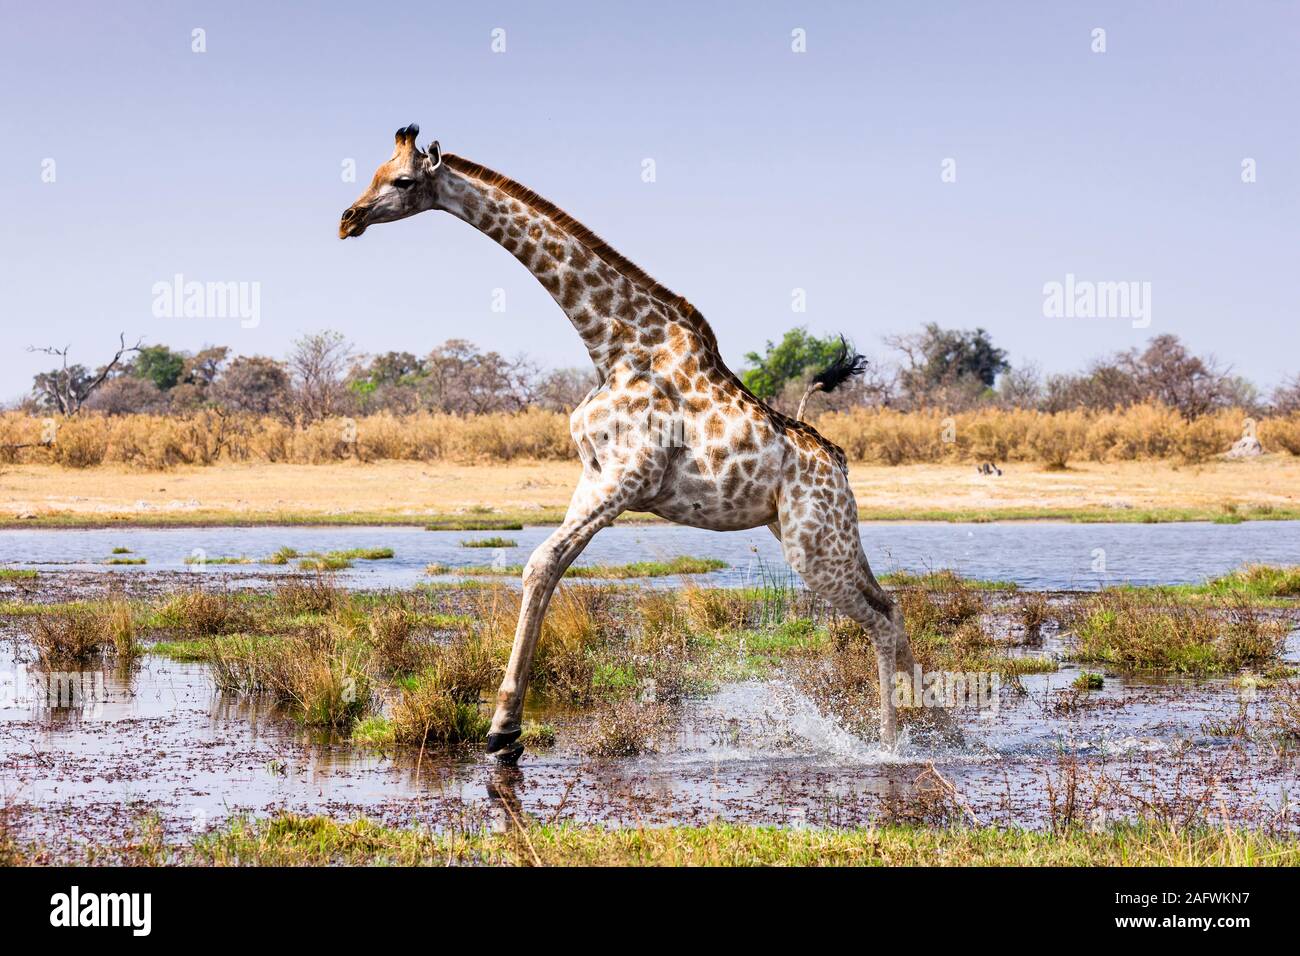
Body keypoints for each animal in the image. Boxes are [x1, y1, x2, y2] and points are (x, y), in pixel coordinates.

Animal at [341, 125, 931, 761]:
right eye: (374, 173)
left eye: (402, 181)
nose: (349, 218)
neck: (614, 344)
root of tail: (839, 462)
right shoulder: (593, 475)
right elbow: (545, 570)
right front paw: (505, 729)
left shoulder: (629, 477)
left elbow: (541, 560)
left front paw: (501, 728)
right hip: (820, 534)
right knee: (893, 606)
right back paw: (923, 726)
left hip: (811, 544)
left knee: (879, 616)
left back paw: (892, 745)